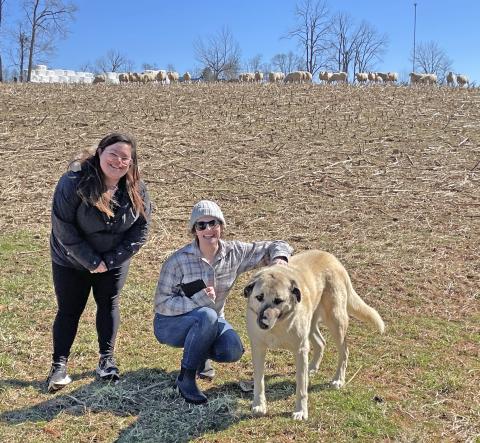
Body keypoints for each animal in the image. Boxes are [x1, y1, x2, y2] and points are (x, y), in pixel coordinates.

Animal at [246, 251, 384, 422]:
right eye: (259, 297)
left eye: (278, 300)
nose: (263, 323)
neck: (278, 326)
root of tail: (331, 257)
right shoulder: (258, 349)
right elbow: (259, 381)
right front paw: (259, 405)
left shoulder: (300, 351)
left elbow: (301, 387)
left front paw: (301, 411)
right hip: (311, 326)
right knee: (321, 343)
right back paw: (312, 367)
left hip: (336, 322)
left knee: (344, 352)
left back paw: (338, 379)